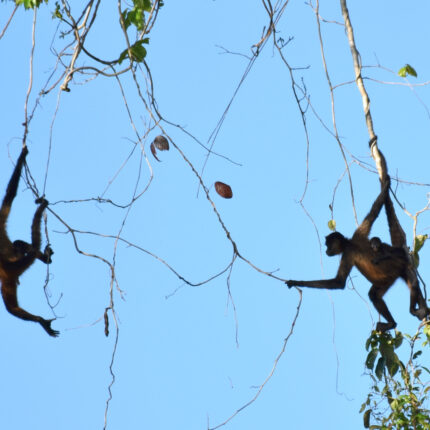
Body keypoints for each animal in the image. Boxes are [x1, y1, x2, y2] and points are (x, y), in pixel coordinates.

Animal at [0, 146, 58, 338]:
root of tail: (8, 265)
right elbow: (9, 196)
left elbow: (10, 195)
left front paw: (22, 155)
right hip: (9, 277)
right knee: (11, 308)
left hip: (8, 276)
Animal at [288, 175, 428, 332]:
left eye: (327, 245)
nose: (325, 251)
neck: (350, 243)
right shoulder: (359, 234)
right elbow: (374, 212)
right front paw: (385, 188)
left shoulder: (348, 252)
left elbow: (339, 282)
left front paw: (296, 282)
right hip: (388, 279)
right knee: (375, 295)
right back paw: (395, 321)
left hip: (399, 267)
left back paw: (397, 320)